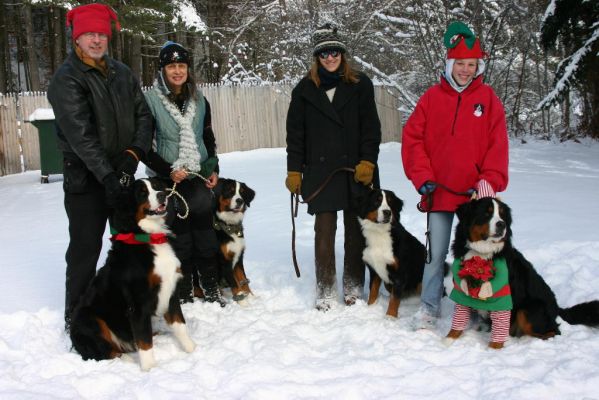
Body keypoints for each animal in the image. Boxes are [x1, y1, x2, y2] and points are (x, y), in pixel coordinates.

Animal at [69, 178, 195, 372]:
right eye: (142, 193)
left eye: (157, 187)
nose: (162, 195)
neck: (148, 237)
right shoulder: (137, 302)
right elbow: (144, 340)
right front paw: (150, 368)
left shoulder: (171, 291)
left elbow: (180, 325)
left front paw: (191, 349)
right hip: (90, 319)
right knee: (103, 351)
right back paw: (124, 360)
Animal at [356, 189, 426, 318]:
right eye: (376, 201)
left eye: (390, 202)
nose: (387, 212)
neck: (379, 233)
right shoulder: (374, 270)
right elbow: (373, 290)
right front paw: (370, 308)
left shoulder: (400, 273)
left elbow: (395, 298)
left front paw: (390, 317)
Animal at [452, 198, 599, 340]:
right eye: (486, 213)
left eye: (502, 215)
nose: (502, 224)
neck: (481, 253)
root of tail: (556, 307)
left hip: (529, 309)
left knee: (553, 331)